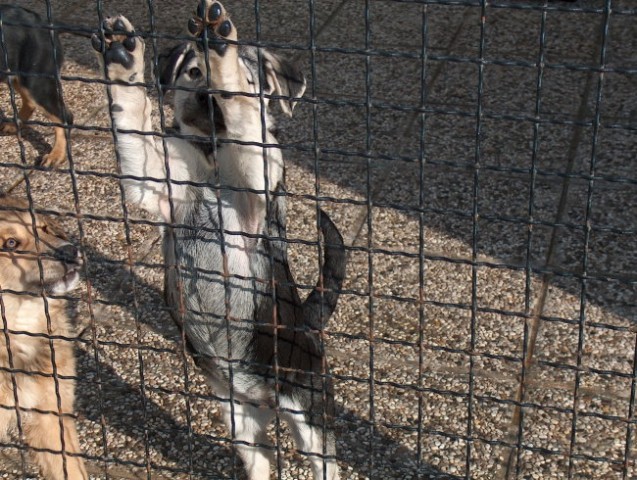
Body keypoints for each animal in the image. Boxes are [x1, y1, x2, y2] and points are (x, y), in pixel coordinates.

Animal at [0, 4, 72, 167]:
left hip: (36, 81)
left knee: (65, 117)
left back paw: (56, 155)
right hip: (20, 77)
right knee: (29, 103)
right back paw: (14, 125)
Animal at [92, 1, 346, 478]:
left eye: (251, 80)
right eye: (192, 73)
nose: (206, 99)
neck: (212, 160)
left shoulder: (255, 186)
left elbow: (248, 126)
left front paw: (223, 48)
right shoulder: (152, 181)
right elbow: (130, 114)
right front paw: (123, 60)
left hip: (309, 412)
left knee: (323, 461)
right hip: (237, 418)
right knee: (261, 459)